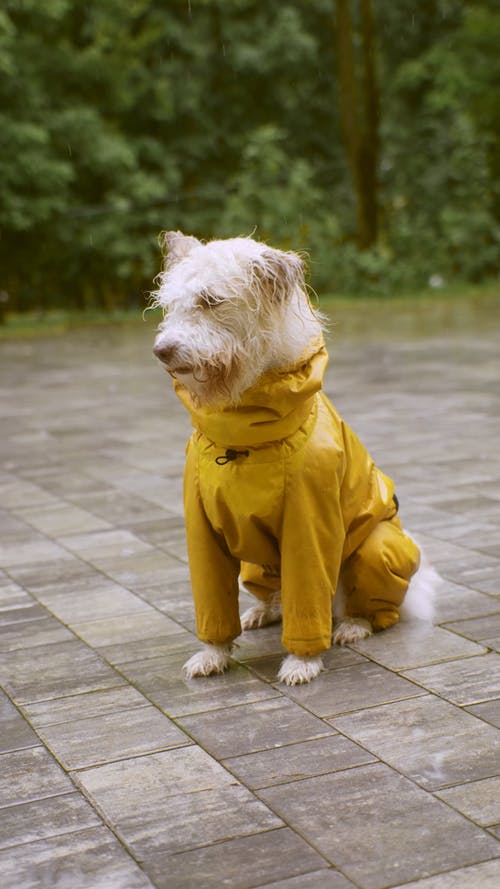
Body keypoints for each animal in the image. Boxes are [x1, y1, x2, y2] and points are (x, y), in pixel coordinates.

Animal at [150, 232, 436, 684]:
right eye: (170, 304)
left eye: (211, 300)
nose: (161, 351)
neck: (244, 432)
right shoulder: (201, 529)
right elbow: (213, 602)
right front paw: (213, 654)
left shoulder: (308, 525)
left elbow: (307, 598)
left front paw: (302, 661)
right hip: (256, 566)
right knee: (277, 597)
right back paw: (263, 611)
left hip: (378, 549)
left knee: (368, 607)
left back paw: (354, 623)